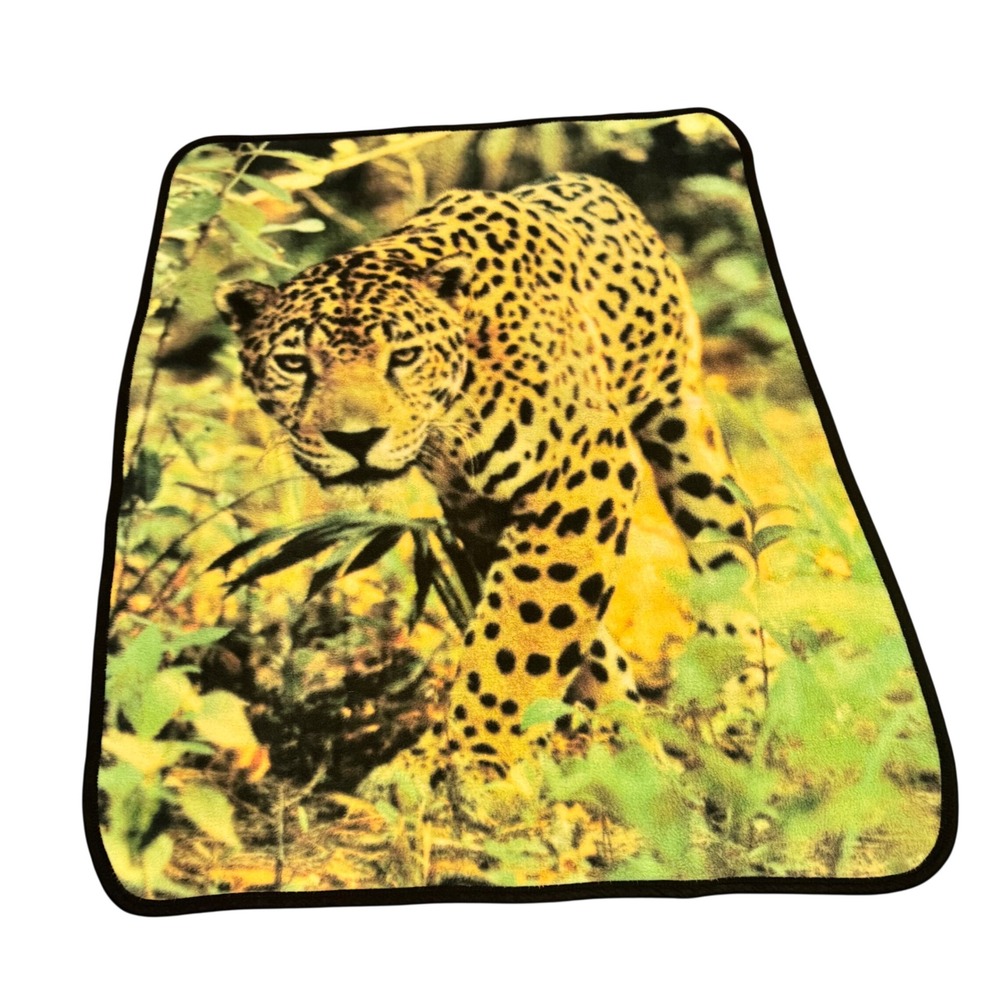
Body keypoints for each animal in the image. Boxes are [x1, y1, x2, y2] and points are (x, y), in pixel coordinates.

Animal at [217, 173, 749, 782]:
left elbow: (523, 629)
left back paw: (740, 696)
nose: (355, 439)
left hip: (681, 426)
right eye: (294, 363)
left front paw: (477, 755)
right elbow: (543, 616)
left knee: (730, 553)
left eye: (403, 356)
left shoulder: (587, 472)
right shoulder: (475, 507)